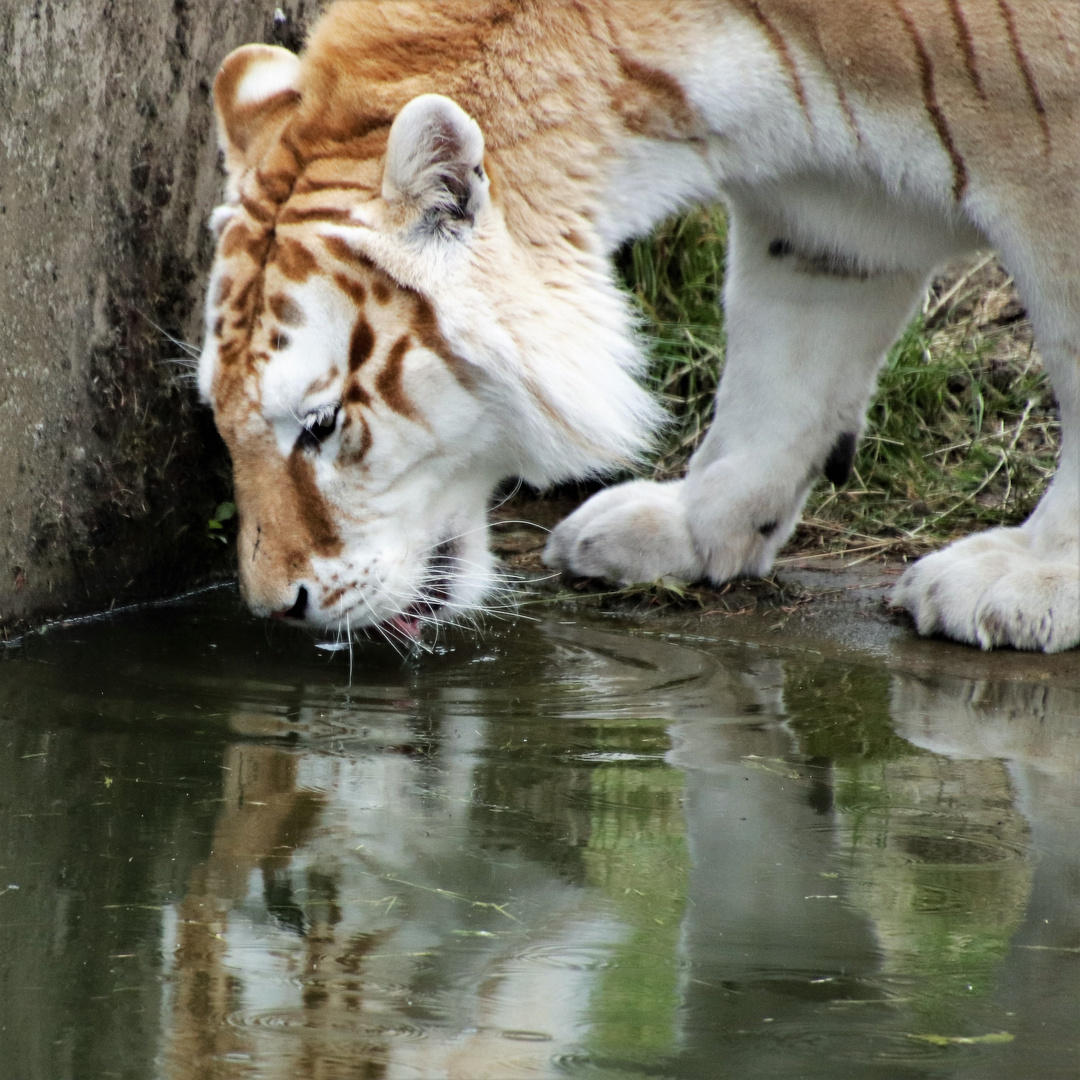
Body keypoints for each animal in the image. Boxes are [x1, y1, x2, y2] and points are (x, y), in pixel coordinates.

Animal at [200, 0, 1080, 648]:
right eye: (220, 417)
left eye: (321, 424)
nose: (278, 606)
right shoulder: (829, 215)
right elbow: (782, 366)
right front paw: (694, 527)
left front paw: (1034, 580)